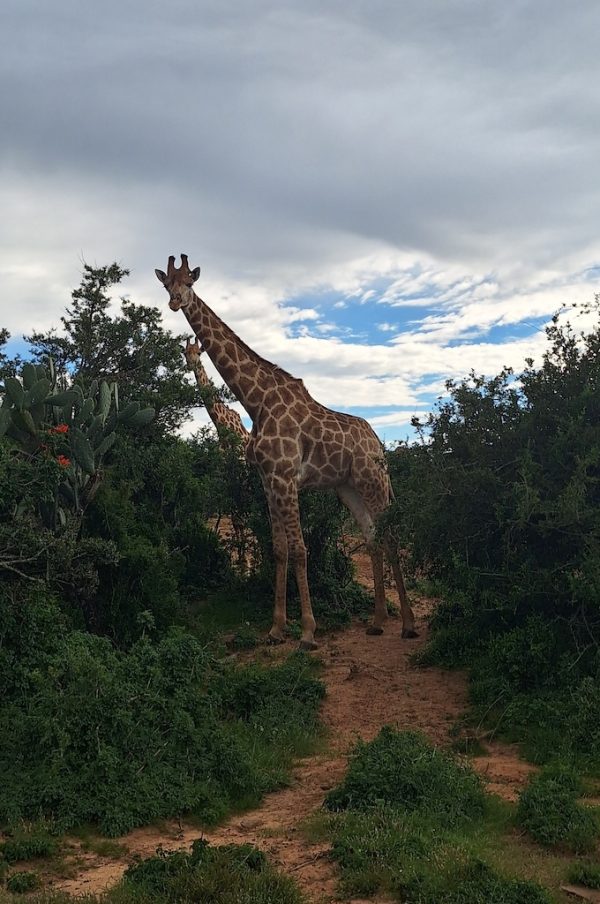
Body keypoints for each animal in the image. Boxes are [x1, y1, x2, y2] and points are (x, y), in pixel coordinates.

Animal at [156, 255, 417, 650]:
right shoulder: (268, 480)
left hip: (372, 481)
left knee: (391, 536)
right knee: (372, 538)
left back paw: (408, 624)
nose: (174, 302)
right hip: (348, 488)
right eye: (166, 283)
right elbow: (279, 548)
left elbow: (299, 549)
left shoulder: (286, 478)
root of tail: (379, 444)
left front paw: (308, 632)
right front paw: (276, 629)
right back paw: (376, 621)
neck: (256, 402)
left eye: (189, 281)